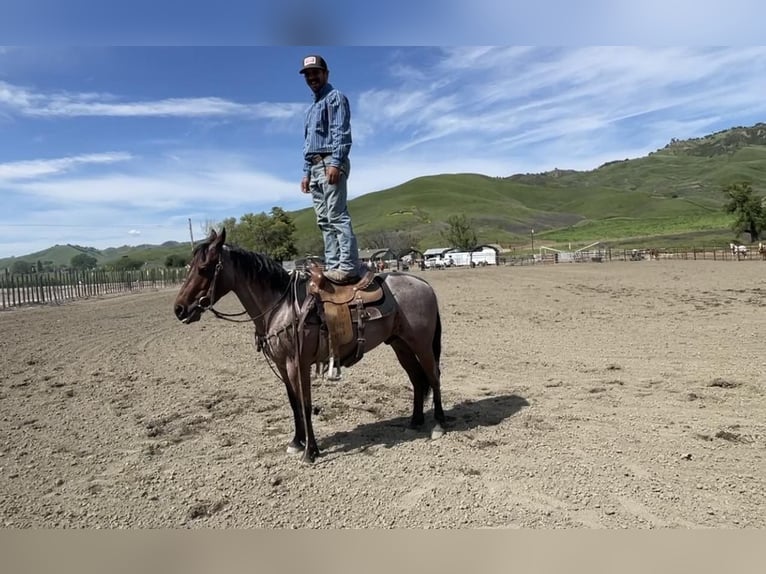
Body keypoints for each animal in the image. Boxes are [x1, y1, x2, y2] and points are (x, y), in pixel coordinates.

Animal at [172, 228, 450, 464]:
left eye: (204, 268)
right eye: (190, 267)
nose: (179, 309)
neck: (280, 307)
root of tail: (423, 284)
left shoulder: (298, 363)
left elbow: (305, 403)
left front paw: (310, 451)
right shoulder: (282, 365)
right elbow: (293, 402)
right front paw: (296, 442)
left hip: (422, 344)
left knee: (433, 376)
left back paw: (438, 425)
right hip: (400, 345)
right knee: (417, 379)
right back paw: (415, 421)